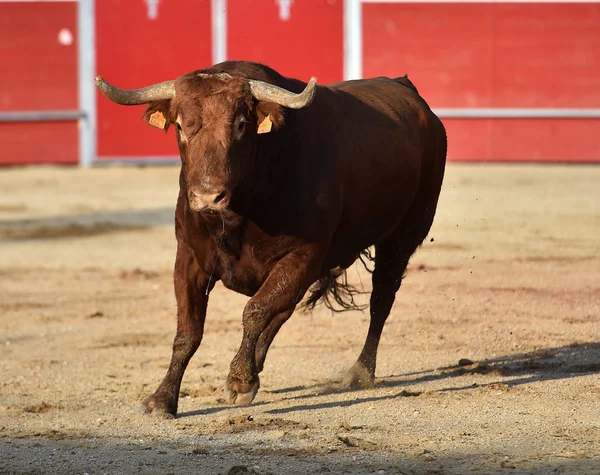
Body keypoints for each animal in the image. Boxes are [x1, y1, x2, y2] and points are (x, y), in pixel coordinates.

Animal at [96, 61, 446, 418]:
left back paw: (359, 373)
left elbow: (255, 310)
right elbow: (189, 331)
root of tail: (409, 92)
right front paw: (162, 398)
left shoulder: (304, 255)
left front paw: (239, 381)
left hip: (403, 235)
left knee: (381, 300)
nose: (208, 196)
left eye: (240, 124)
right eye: (179, 125)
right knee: (284, 311)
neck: (241, 211)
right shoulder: (190, 258)